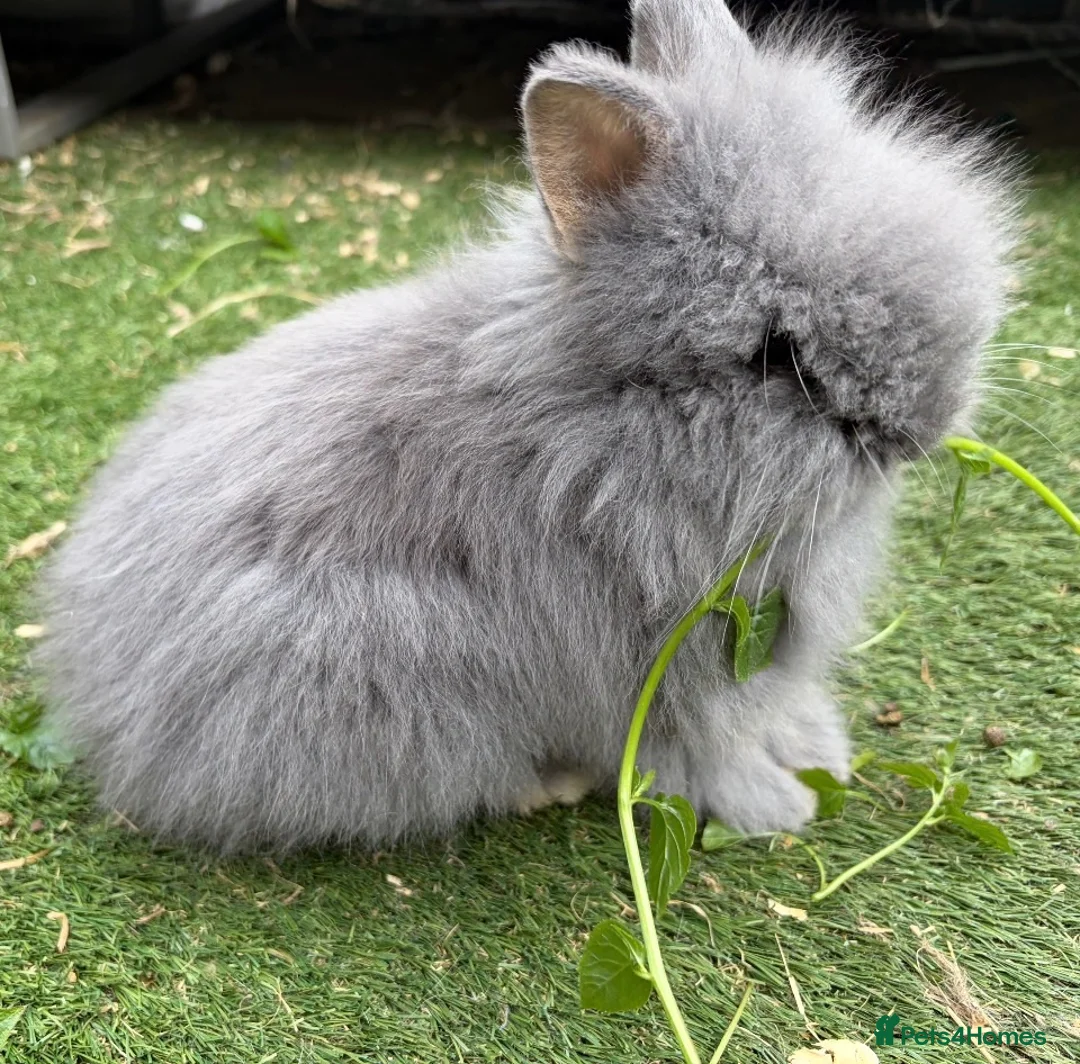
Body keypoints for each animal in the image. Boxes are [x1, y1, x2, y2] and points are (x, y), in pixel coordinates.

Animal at [38, 0, 1018, 854]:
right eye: (777, 357)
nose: (923, 429)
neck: (595, 433)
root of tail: (101, 706)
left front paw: (817, 755)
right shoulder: (659, 678)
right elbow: (702, 750)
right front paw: (773, 805)